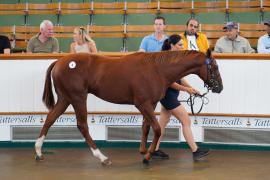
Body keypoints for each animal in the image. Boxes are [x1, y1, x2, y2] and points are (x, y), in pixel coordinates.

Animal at [34, 49, 223, 165]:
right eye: (214, 66)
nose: (219, 88)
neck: (157, 70)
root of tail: (60, 61)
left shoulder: (150, 104)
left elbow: (147, 127)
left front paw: (144, 151)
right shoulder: (142, 103)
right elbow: (157, 128)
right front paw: (147, 156)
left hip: (65, 98)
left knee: (50, 119)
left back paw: (38, 152)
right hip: (78, 98)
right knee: (82, 125)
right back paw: (102, 157)